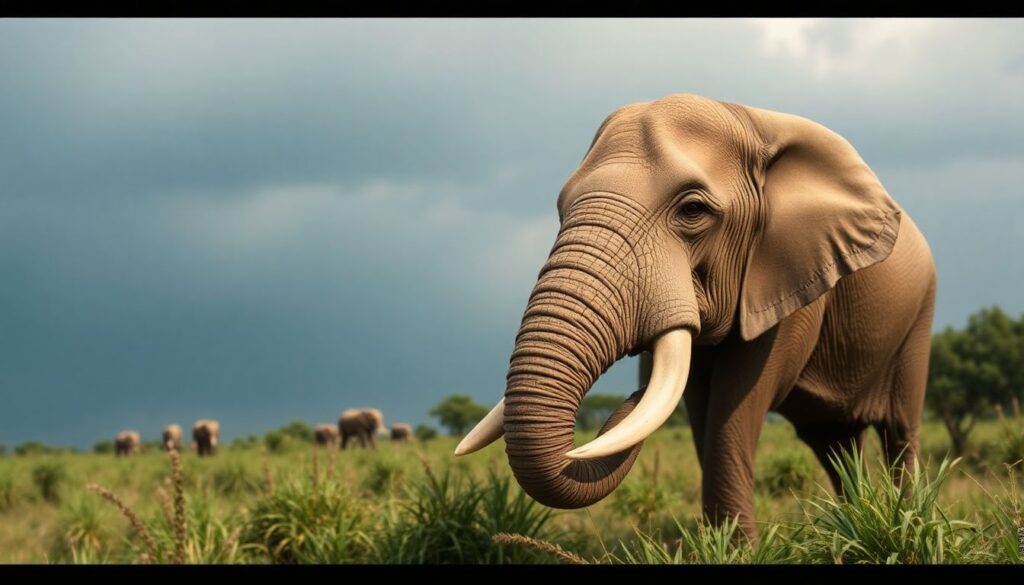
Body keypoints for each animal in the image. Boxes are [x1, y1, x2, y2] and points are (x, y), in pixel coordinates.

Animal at [455, 94, 936, 540]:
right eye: (560, 209)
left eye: (692, 211)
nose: (630, 396)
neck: (751, 123)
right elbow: (702, 408)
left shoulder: (790, 281)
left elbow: (734, 407)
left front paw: (736, 550)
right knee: (833, 442)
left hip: (921, 314)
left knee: (898, 432)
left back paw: (901, 519)